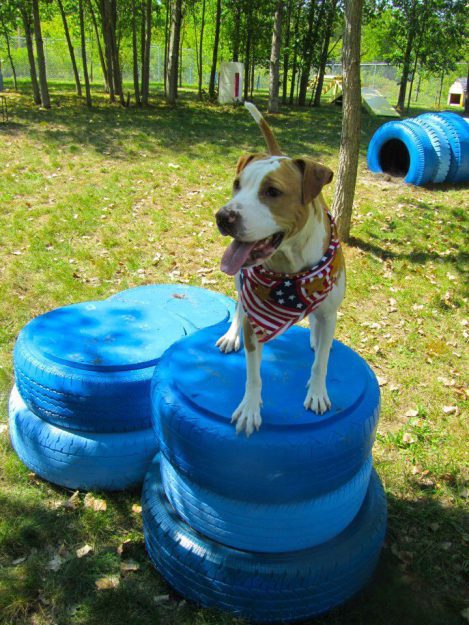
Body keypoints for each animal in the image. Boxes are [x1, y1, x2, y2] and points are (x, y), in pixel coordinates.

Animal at [216, 102, 344, 434]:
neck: (291, 270)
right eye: (237, 185)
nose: (223, 216)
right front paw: (250, 408)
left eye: (272, 192)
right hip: (239, 281)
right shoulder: (254, 319)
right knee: (238, 305)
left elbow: (321, 362)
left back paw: (316, 337)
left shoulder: (329, 310)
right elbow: (253, 374)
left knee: (319, 328)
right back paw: (231, 334)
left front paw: (317, 391)